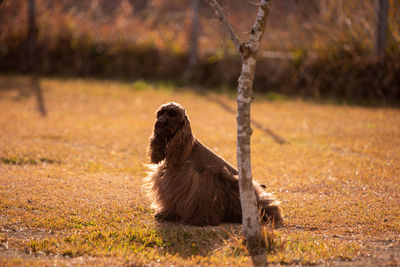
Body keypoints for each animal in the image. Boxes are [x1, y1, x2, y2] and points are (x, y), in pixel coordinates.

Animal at [146, 102, 282, 226]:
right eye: (160, 114)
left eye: (173, 114)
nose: (160, 121)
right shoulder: (171, 182)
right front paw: (167, 214)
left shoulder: (203, 181)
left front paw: (199, 220)